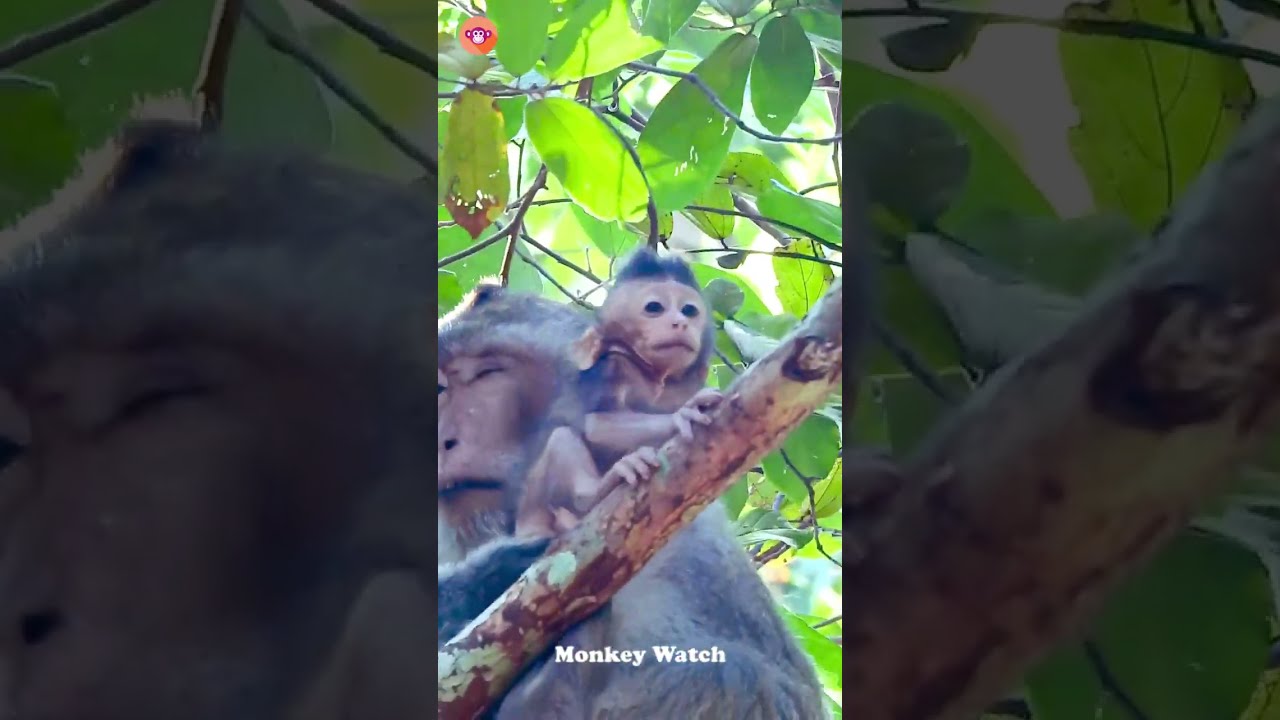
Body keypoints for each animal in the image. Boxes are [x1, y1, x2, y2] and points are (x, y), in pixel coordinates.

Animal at [438, 281, 829, 719]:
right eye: (436, 389)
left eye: (487, 374)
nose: (445, 442)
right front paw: (486, 577)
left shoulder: (697, 549)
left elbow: (776, 690)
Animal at [516, 248, 725, 538]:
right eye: (654, 308)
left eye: (689, 310)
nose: (681, 323)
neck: (655, 377)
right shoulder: (615, 364)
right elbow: (595, 424)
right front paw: (681, 416)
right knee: (560, 436)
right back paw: (594, 493)